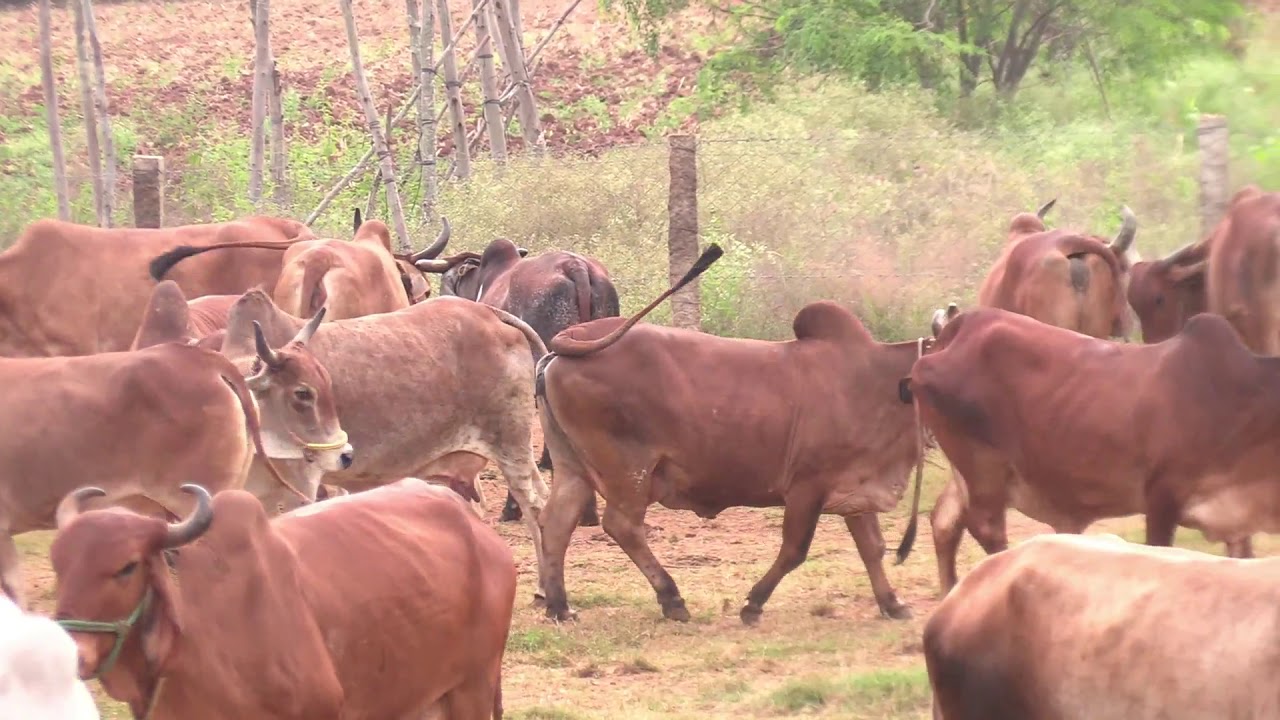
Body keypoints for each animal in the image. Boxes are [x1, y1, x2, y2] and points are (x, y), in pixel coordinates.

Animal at [204, 289, 555, 592]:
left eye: (307, 393)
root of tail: (488, 313)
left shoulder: (302, 485)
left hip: (511, 441)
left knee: (536, 506)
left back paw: (550, 594)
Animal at [534, 244, 929, 625]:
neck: (878, 380)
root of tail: (570, 341)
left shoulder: (856, 485)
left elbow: (872, 548)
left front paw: (893, 603)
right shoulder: (808, 485)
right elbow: (795, 550)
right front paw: (754, 604)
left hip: (572, 465)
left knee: (556, 523)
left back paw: (560, 606)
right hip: (628, 469)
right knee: (622, 525)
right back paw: (671, 597)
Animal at [901, 305, 1280, 595]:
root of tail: (954, 331)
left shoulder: (1236, 523)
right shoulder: (1161, 498)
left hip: (967, 471)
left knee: (945, 521)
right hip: (983, 467)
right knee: (985, 529)